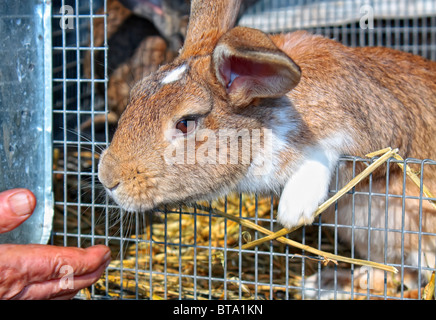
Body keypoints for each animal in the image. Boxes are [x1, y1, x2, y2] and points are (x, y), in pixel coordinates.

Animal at [99, 1, 436, 298]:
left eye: (185, 123)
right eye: (135, 95)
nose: (107, 178)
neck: (263, 113)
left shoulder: (375, 128)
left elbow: (327, 149)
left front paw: (293, 208)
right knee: (385, 274)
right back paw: (323, 285)